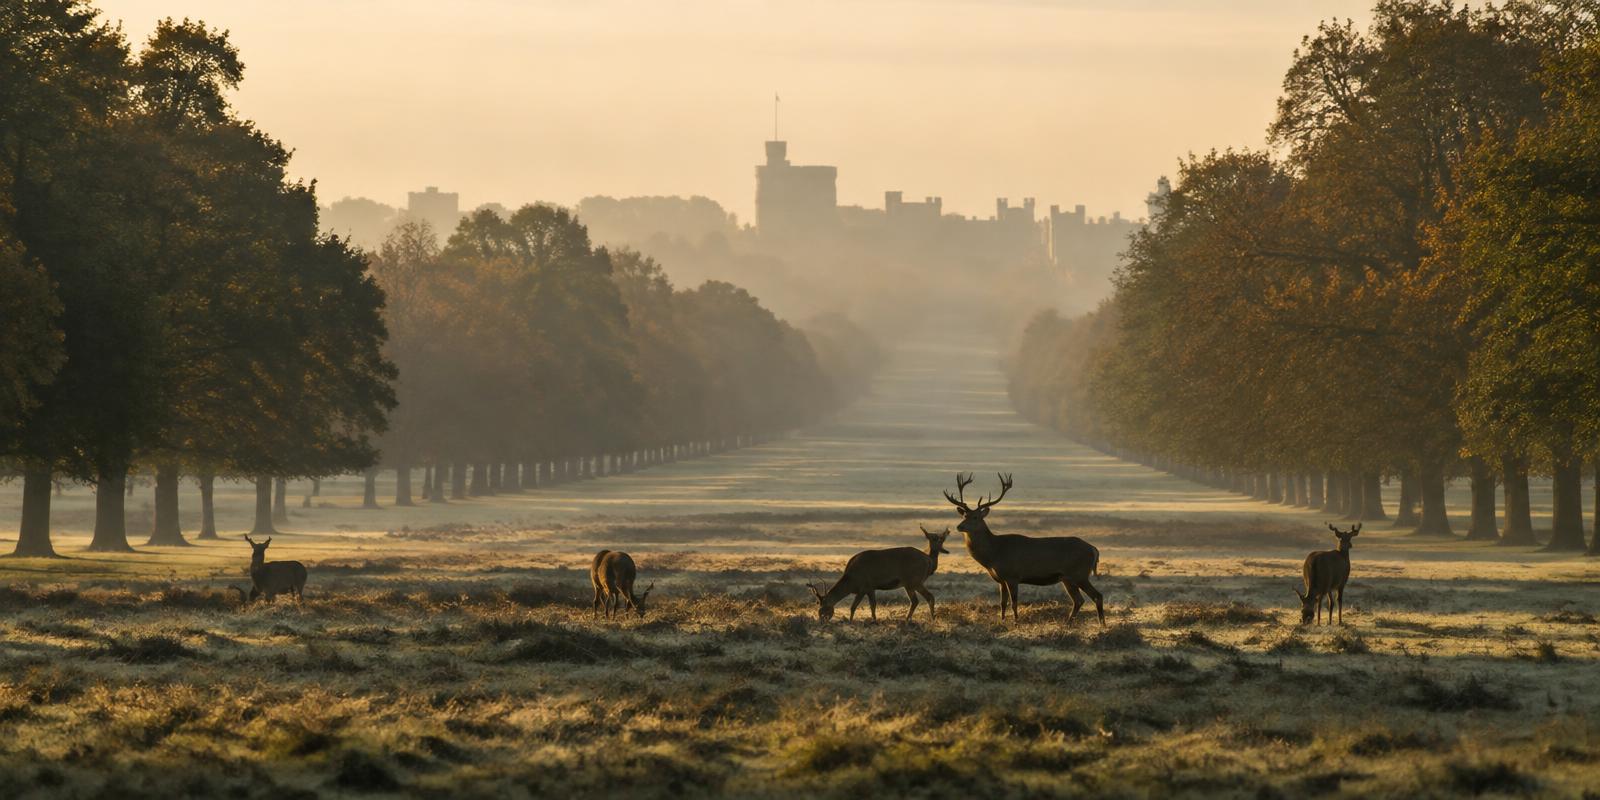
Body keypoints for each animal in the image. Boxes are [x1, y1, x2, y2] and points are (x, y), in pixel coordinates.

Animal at [809, 526, 951, 621]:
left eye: (823, 609)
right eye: (818, 606)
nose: (821, 621)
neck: (851, 581)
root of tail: (928, 560)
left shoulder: (864, 587)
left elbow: (854, 606)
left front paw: (850, 621)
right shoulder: (871, 588)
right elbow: (872, 605)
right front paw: (874, 620)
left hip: (913, 581)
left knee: (928, 597)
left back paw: (929, 618)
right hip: (910, 584)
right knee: (916, 600)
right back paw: (911, 619)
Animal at [944, 473, 1104, 625]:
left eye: (976, 517)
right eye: (964, 515)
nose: (959, 526)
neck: (994, 554)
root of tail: (1094, 549)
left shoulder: (1013, 576)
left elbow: (1014, 603)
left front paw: (1016, 622)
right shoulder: (1001, 579)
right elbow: (1002, 603)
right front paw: (1002, 621)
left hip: (1079, 574)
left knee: (1097, 595)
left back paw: (1100, 624)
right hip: (1068, 578)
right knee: (1079, 600)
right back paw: (1071, 623)